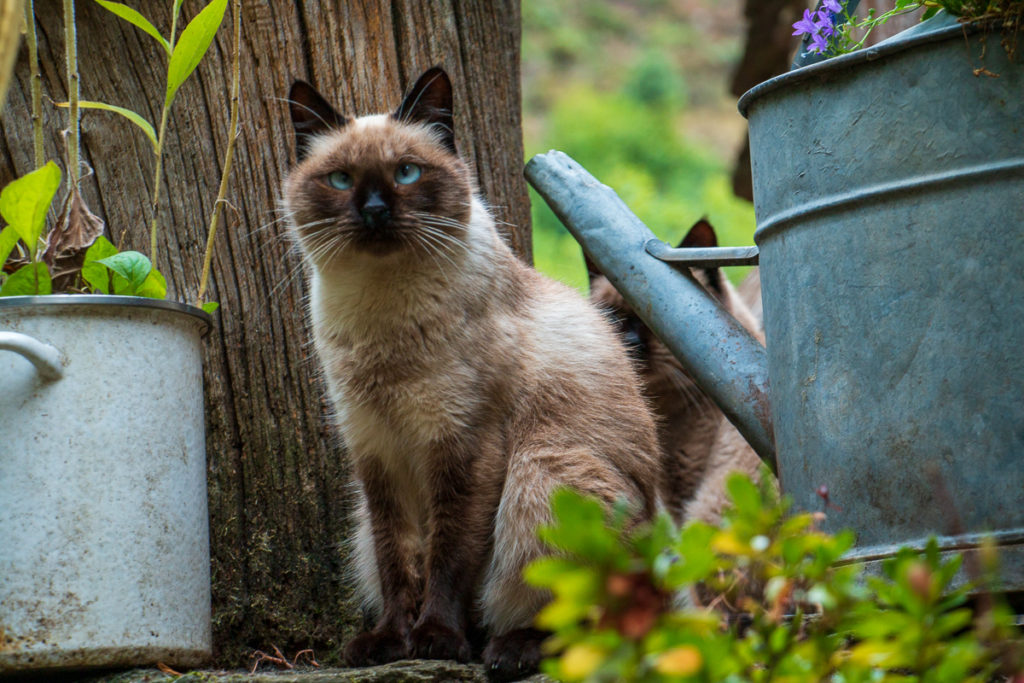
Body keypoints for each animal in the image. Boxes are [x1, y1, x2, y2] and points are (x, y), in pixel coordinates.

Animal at [284, 68, 659, 679]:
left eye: (406, 172)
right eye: (340, 180)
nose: (374, 210)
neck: (381, 316)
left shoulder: (464, 444)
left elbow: (449, 557)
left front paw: (436, 640)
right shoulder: (376, 451)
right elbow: (398, 559)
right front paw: (390, 642)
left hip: (543, 472)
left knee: (588, 626)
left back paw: (507, 648)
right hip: (367, 518)